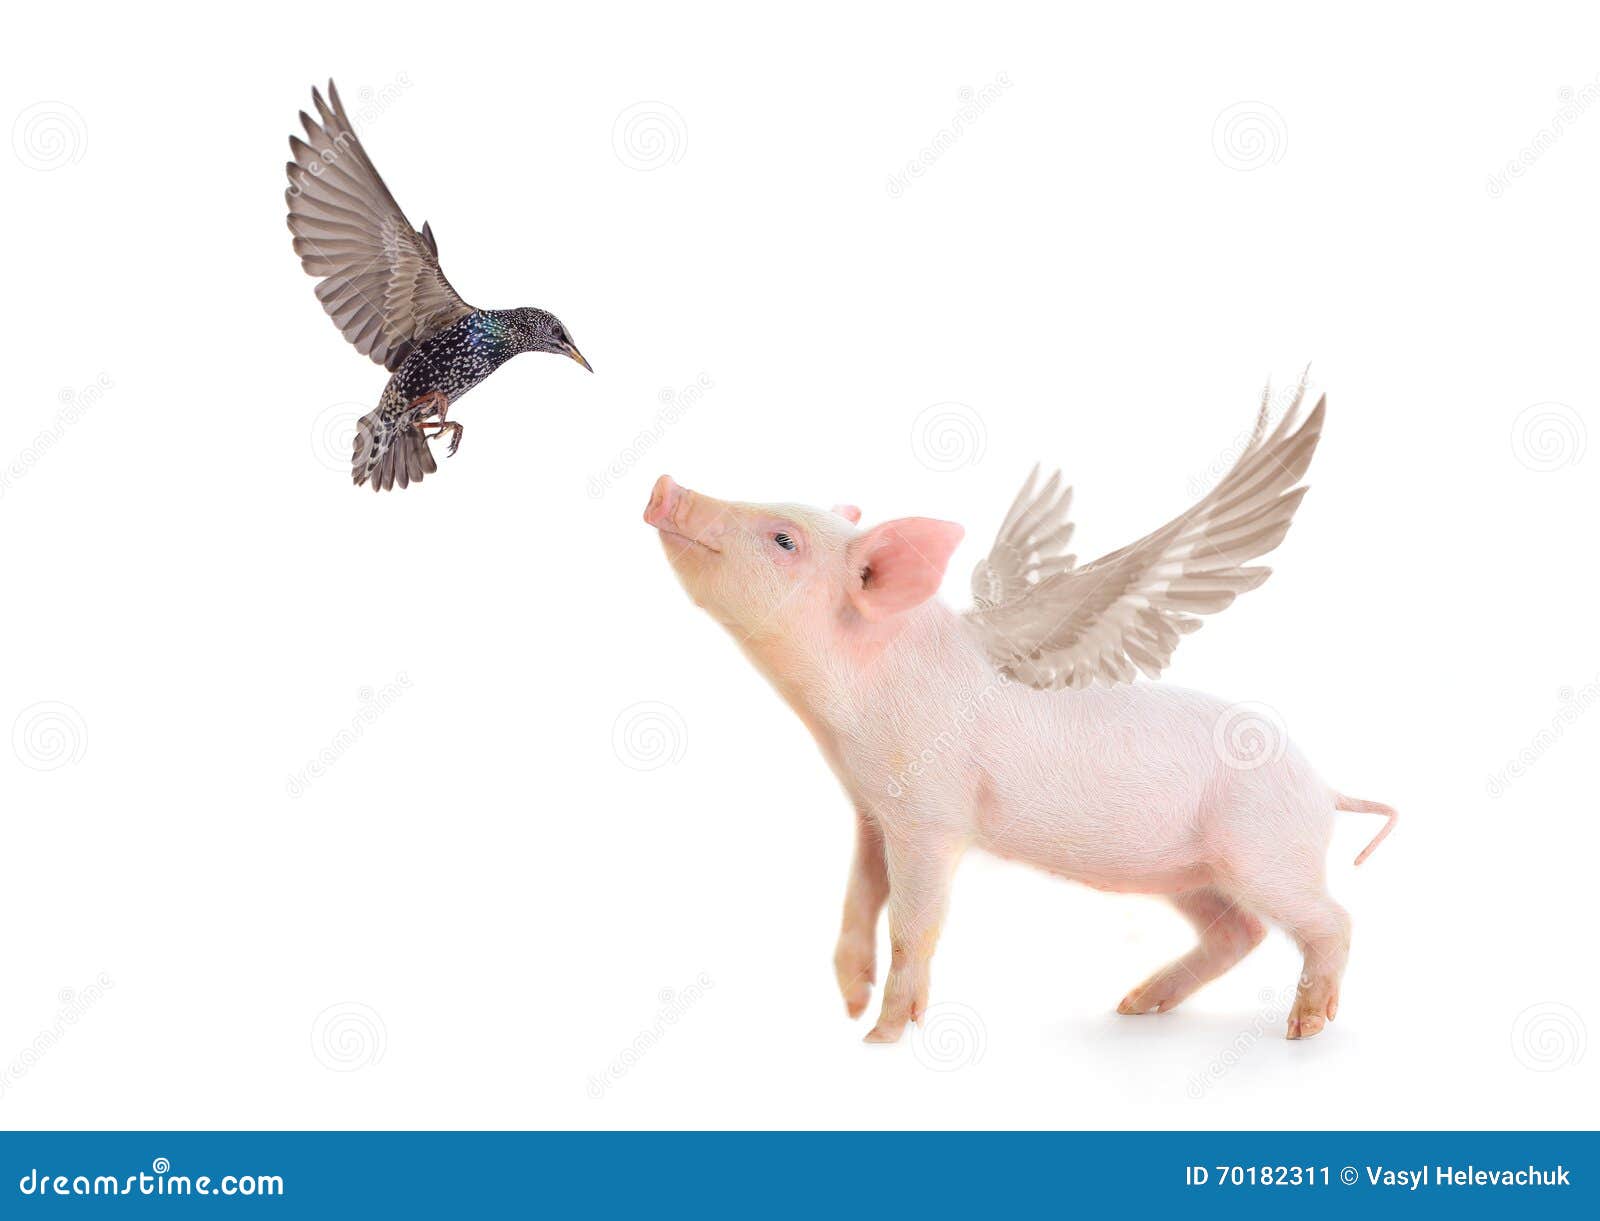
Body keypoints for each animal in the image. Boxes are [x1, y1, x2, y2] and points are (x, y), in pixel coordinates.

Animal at [642, 390, 1394, 1042]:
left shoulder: (931, 814)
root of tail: (1325, 789)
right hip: (1191, 870)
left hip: (1265, 850)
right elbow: (859, 897)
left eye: (783, 539)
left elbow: (912, 925)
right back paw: (1133, 1005)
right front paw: (851, 1002)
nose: (665, 486)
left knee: (1332, 919)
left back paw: (1303, 1026)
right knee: (1239, 931)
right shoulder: (871, 808)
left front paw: (882, 1037)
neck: (841, 716)